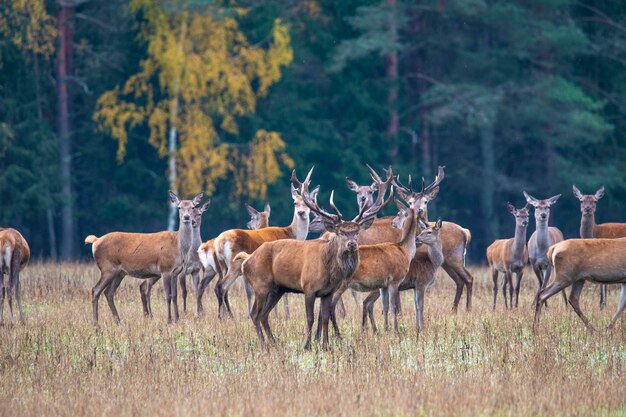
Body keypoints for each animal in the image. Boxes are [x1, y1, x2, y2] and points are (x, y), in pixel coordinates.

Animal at [84, 190, 202, 324]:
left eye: (193, 207)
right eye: (179, 207)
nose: (187, 217)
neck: (178, 246)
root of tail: (95, 241)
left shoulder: (176, 272)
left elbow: (175, 295)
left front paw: (177, 319)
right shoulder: (165, 269)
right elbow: (168, 295)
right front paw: (169, 320)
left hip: (119, 272)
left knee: (108, 292)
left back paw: (118, 321)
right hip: (107, 268)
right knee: (95, 290)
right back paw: (95, 323)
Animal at [213, 167, 314, 316]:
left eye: (310, 201)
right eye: (295, 202)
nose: (301, 212)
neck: (292, 233)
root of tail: (220, 242)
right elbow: (284, 293)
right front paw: (284, 315)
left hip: (222, 265)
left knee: (218, 287)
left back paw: (227, 315)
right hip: (234, 264)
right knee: (222, 286)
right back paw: (222, 316)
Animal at [239, 177, 390, 350]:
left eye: (356, 231)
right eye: (340, 232)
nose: (352, 244)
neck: (328, 269)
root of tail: (246, 260)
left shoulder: (327, 292)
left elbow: (324, 317)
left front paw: (326, 345)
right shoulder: (309, 287)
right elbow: (310, 317)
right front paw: (307, 345)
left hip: (277, 289)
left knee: (264, 314)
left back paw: (274, 342)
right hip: (260, 285)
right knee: (254, 314)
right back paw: (264, 344)